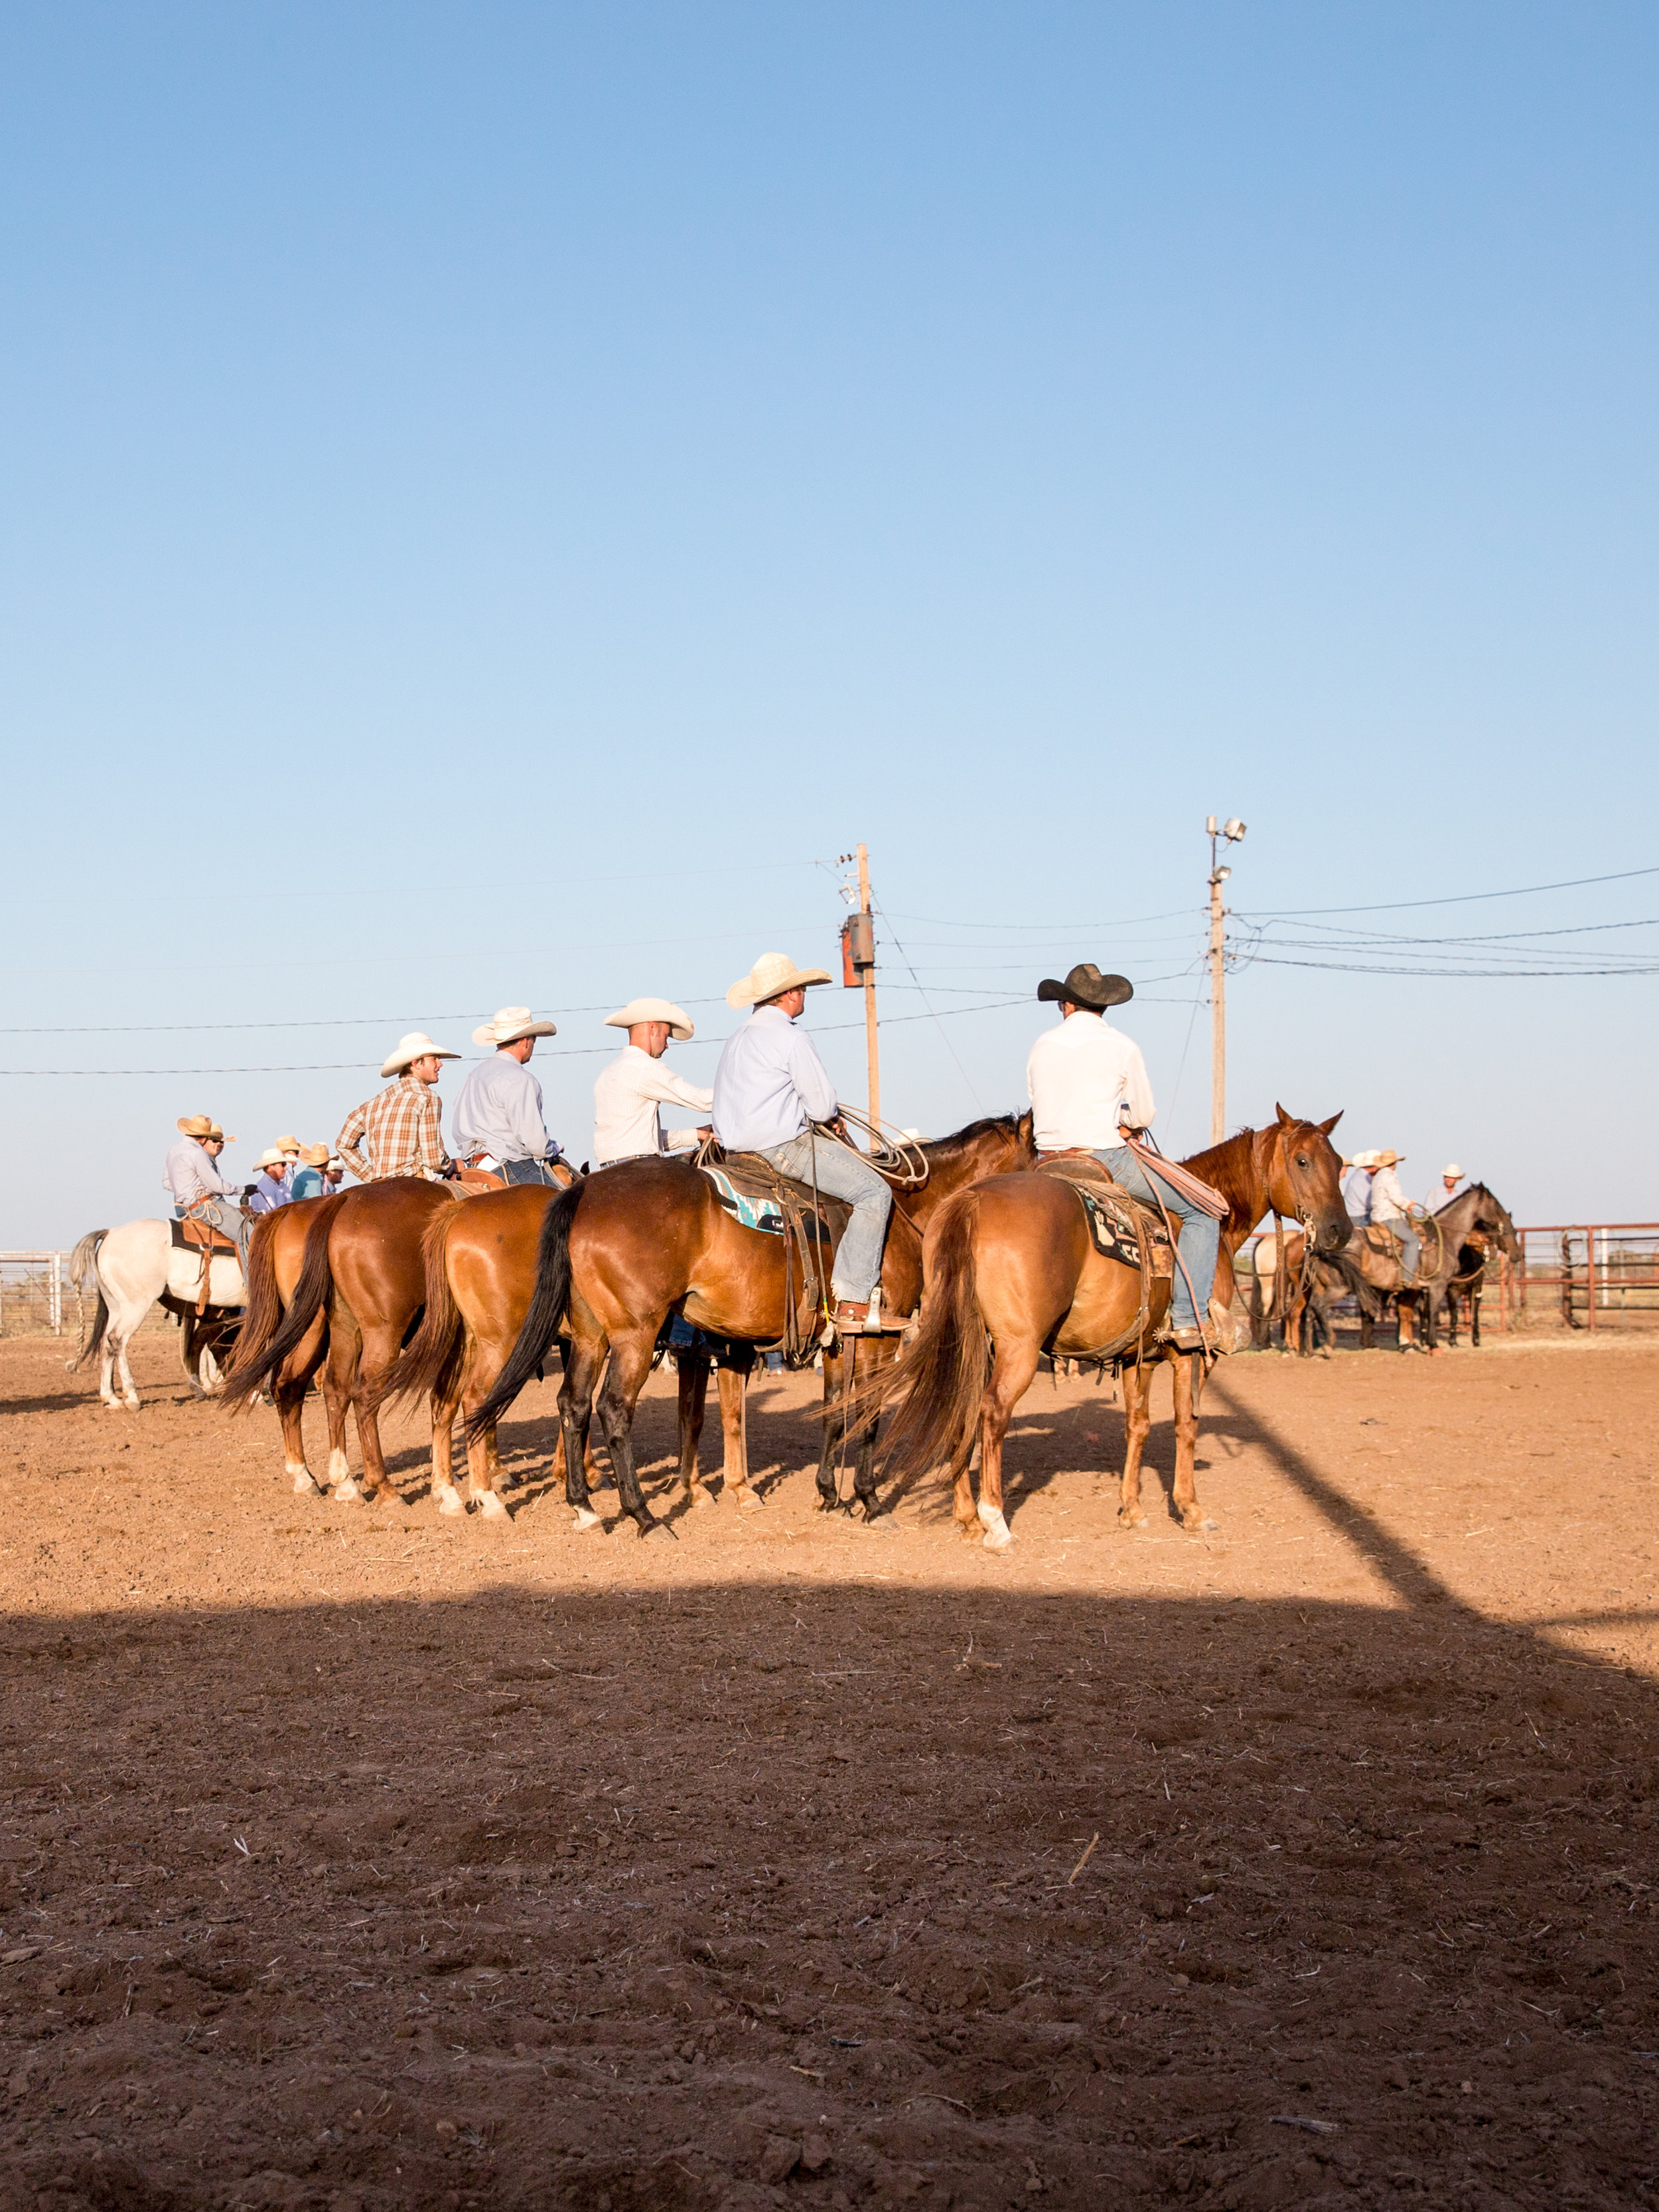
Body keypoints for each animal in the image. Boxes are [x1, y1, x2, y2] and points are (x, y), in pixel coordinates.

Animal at [66, 1220, 246, 1406]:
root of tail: (110, 1233)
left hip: (116, 1306)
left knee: (107, 1343)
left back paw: (111, 1397)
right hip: (135, 1307)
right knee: (117, 1339)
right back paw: (132, 1396)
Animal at [394, 1114, 1039, 1530]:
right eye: (1038, 1155)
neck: (901, 1210)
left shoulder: (830, 1341)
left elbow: (831, 1412)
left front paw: (825, 1493)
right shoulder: (878, 1336)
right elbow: (867, 1415)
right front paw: (868, 1499)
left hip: (590, 1335)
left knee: (567, 1405)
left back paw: (581, 1505)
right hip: (609, 1335)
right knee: (598, 1408)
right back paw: (633, 1512)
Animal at [871, 1114, 1354, 1548]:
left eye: (1339, 1162)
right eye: (1303, 1161)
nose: (1340, 1230)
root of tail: (971, 1201)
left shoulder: (1138, 1357)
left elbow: (1137, 1425)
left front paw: (1132, 1509)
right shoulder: (1191, 1352)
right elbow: (1186, 1424)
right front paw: (1192, 1509)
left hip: (970, 1341)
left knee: (962, 1407)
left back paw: (968, 1518)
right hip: (1017, 1348)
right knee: (991, 1413)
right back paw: (995, 1522)